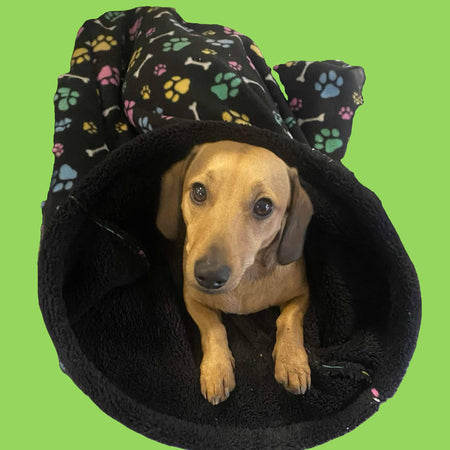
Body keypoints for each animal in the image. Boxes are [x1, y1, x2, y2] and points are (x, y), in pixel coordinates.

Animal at [156, 140, 313, 405]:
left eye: (264, 206)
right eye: (199, 192)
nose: (209, 275)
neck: (244, 283)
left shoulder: (301, 295)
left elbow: (288, 321)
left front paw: (292, 362)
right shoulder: (192, 298)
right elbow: (213, 328)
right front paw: (217, 370)